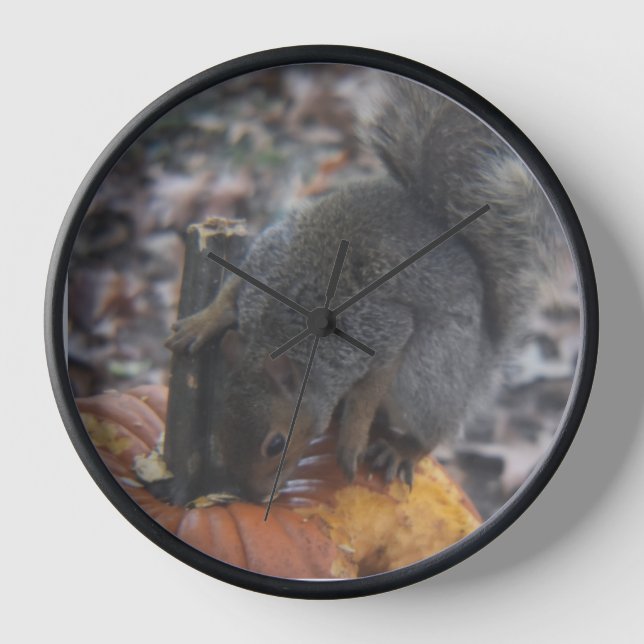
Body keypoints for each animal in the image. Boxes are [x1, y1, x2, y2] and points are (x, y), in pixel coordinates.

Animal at [165, 77, 557, 503]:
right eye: (220, 426)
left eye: (275, 444)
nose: (253, 498)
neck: (279, 328)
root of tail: (485, 355)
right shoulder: (266, 260)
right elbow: (232, 289)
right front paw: (200, 323)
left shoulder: (382, 332)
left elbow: (368, 394)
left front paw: (351, 442)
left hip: (432, 370)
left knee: (434, 427)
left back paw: (404, 449)